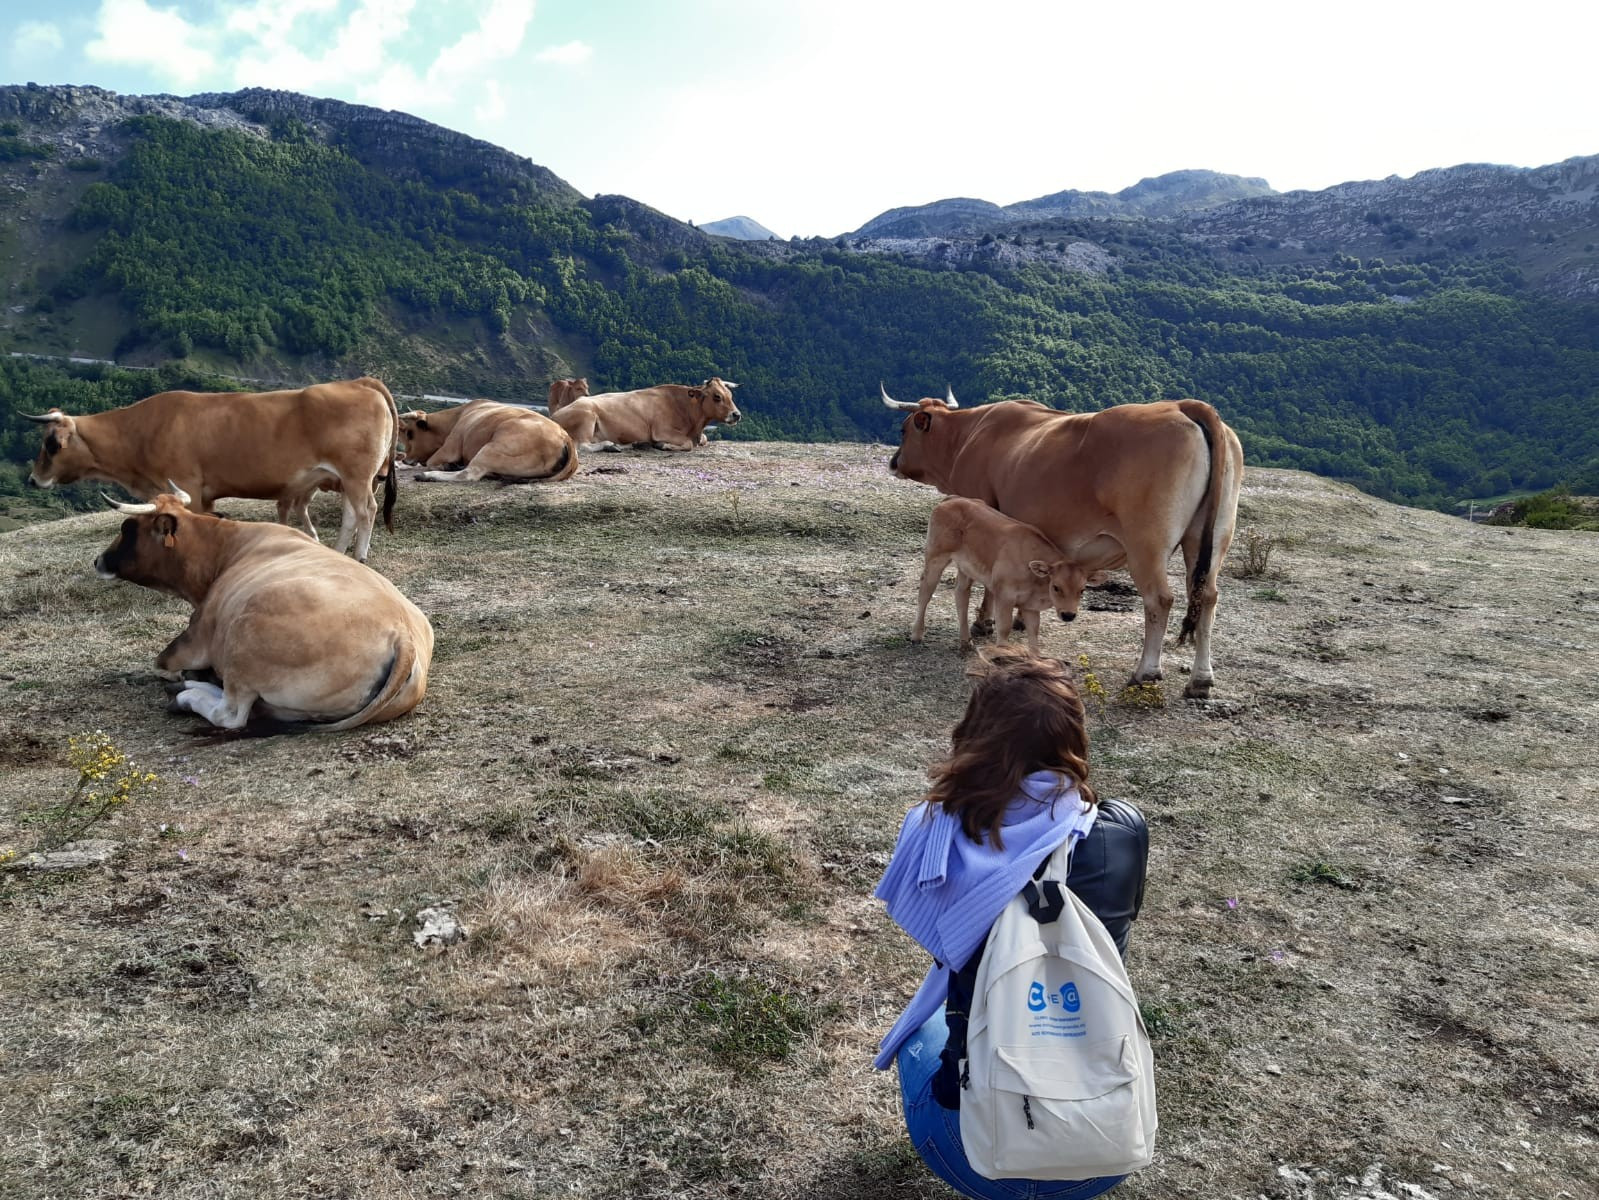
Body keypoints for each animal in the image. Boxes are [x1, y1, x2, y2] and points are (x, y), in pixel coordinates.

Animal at [96, 486, 434, 732]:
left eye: (127, 528)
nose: (98, 560)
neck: (224, 546)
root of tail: (401, 634)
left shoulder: (195, 637)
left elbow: (163, 663)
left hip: (242, 642)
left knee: (232, 713)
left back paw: (186, 694)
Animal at [396, 400, 578, 483]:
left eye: (410, 434)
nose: (406, 458)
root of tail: (565, 437)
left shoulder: (451, 445)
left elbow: (431, 462)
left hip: (491, 449)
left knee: (469, 474)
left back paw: (428, 475)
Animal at [550, 376, 741, 451]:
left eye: (730, 395)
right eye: (717, 396)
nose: (736, 414)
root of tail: (553, 416)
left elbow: (704, 439)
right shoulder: (661, 430)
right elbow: (688, 444)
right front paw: (664, 445)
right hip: (587, 416)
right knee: (582, 445)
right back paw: (610, 445)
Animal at [908, 499, 1093, 659]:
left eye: (1082, 590)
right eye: (1056, 586)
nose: (1068, 615)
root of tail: (951, 500)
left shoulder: (1030, 606)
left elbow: (1034, 633)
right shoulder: (1004, 597)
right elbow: (1004, 629)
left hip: (966, 568)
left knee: (961, 595)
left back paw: (966, 642)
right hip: (935, 558)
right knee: (925, 591)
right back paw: (916, 635)